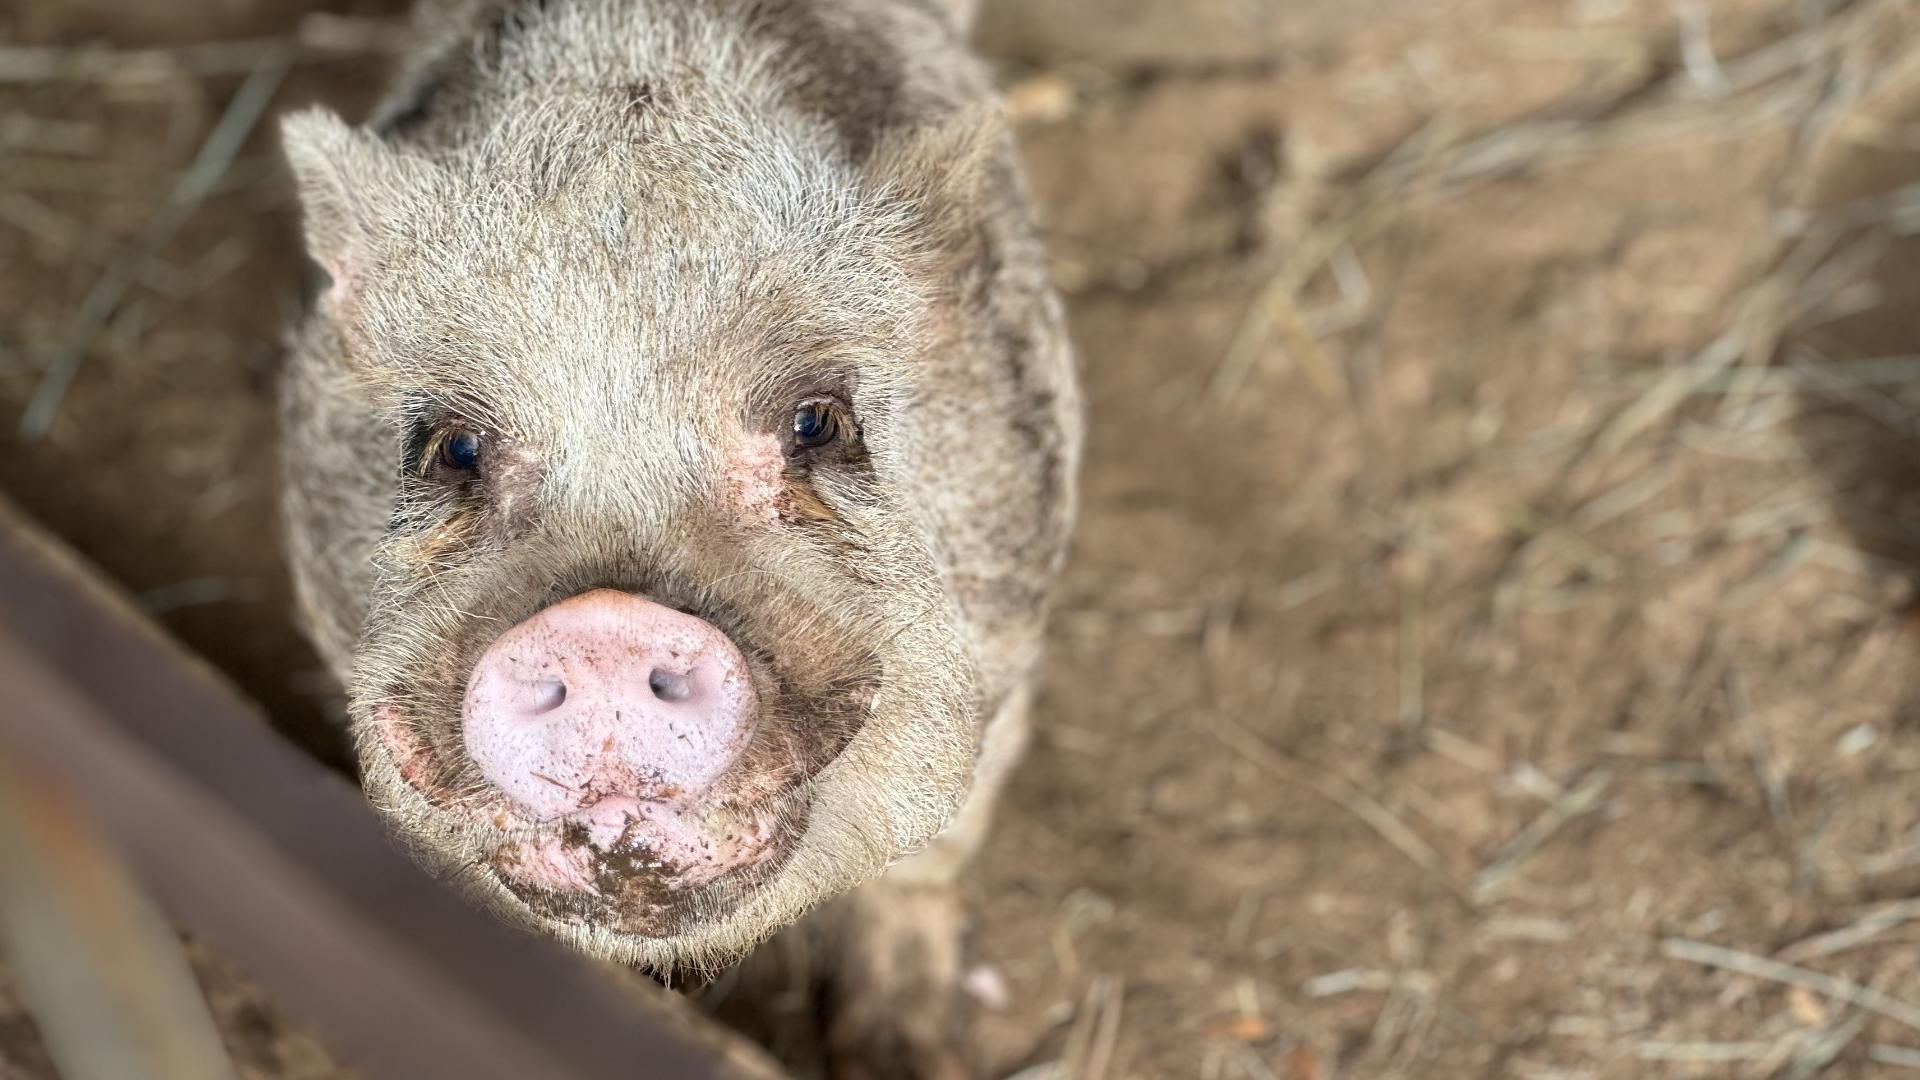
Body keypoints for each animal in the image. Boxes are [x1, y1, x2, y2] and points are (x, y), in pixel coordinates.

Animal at [272, 0, 1082, 1060]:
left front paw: (900, 1056)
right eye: (454, 448)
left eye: (819, 424)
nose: (606, 626)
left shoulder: (1012, 643)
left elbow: (927, 860)